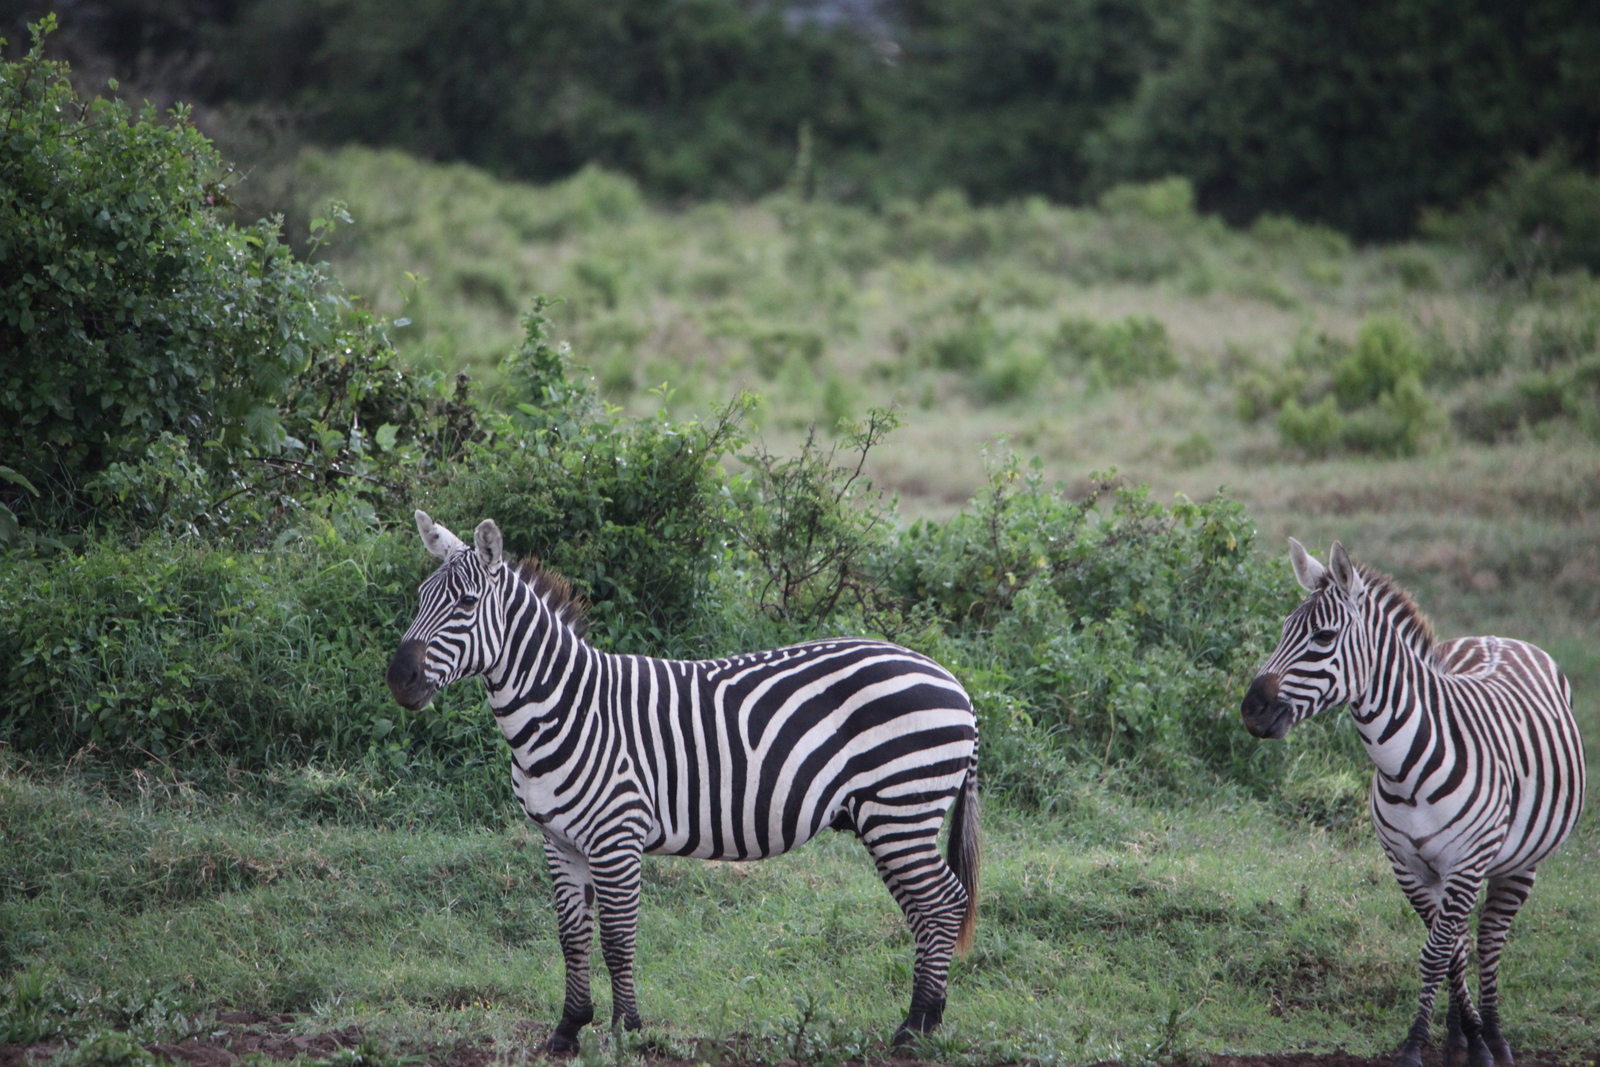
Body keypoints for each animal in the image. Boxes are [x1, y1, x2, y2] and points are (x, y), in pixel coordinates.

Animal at [390, 511, 972, 1055]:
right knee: (928, 910)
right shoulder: (557, 840)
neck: (565, 709)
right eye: (420, 598)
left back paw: (915, 1030)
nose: (399, 679)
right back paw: (928, 1018)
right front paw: (568, 1030)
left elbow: (617, 938)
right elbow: (571, 937)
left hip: (900, 810)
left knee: (943, 903)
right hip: (890, 820)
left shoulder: (616, 836)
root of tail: (952, 680)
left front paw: (627, 1032)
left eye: (466, 604)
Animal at [1241, 537, 1580, 1067]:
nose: (1250, 710)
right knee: (1464, 938)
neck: (1404, 770)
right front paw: (1461, 1038)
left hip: (1520, 861)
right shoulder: (1408, 865)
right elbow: (1446, 950)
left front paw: (1425, 1044)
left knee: (1491, 939)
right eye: (1283, 632)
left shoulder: (1466, 861)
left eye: (1323, 637)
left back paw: (1497, 1035)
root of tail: (1499, 637)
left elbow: (1438, 951)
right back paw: (1465, 1035)